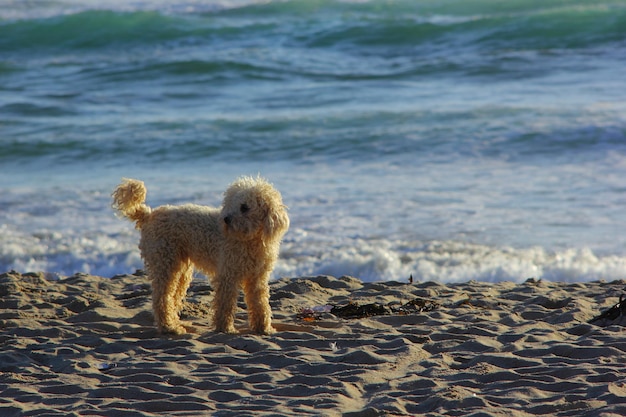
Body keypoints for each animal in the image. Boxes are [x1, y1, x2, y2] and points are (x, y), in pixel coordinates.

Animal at [112, 176, 288, 334]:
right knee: (161, 299)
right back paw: (169, 327)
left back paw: (176, 323)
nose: (225, 219)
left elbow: (260, 303)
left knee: (172, 298)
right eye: (230, 204)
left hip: (180, 270)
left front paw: (263, 328)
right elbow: (225, 304)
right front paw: (225, 328)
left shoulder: (258, 278)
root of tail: (149, 215)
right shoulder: (228, 275)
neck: (250, 239)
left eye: (244, 207)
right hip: (165, 263)